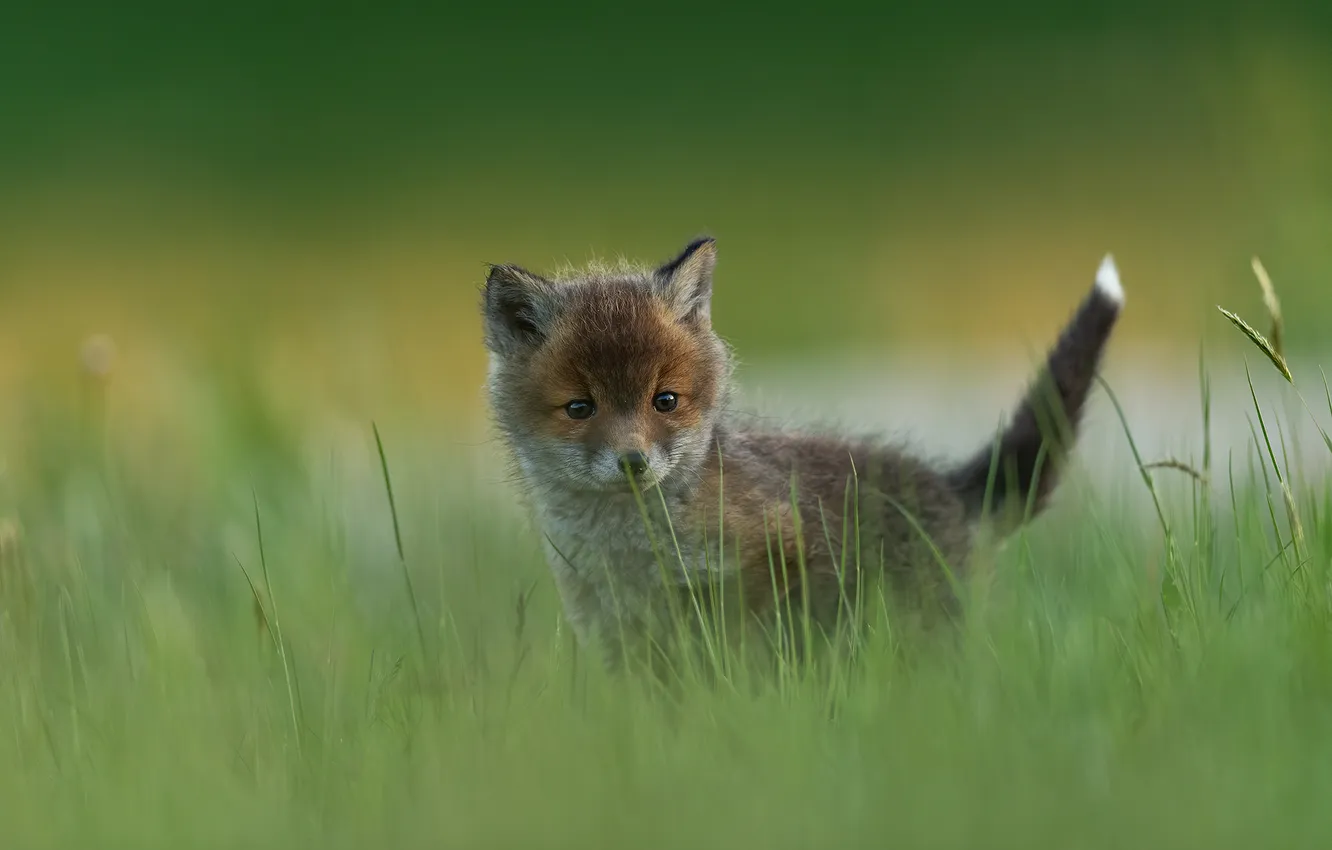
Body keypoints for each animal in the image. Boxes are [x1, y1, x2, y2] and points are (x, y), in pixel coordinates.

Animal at [481, 237, 1123, 672]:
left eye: (665, 400)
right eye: (579, 408)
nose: (634, 463)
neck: (633, 549)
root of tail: (947, 486)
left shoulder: (775, 560)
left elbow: (753, 662)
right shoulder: (614, 628)